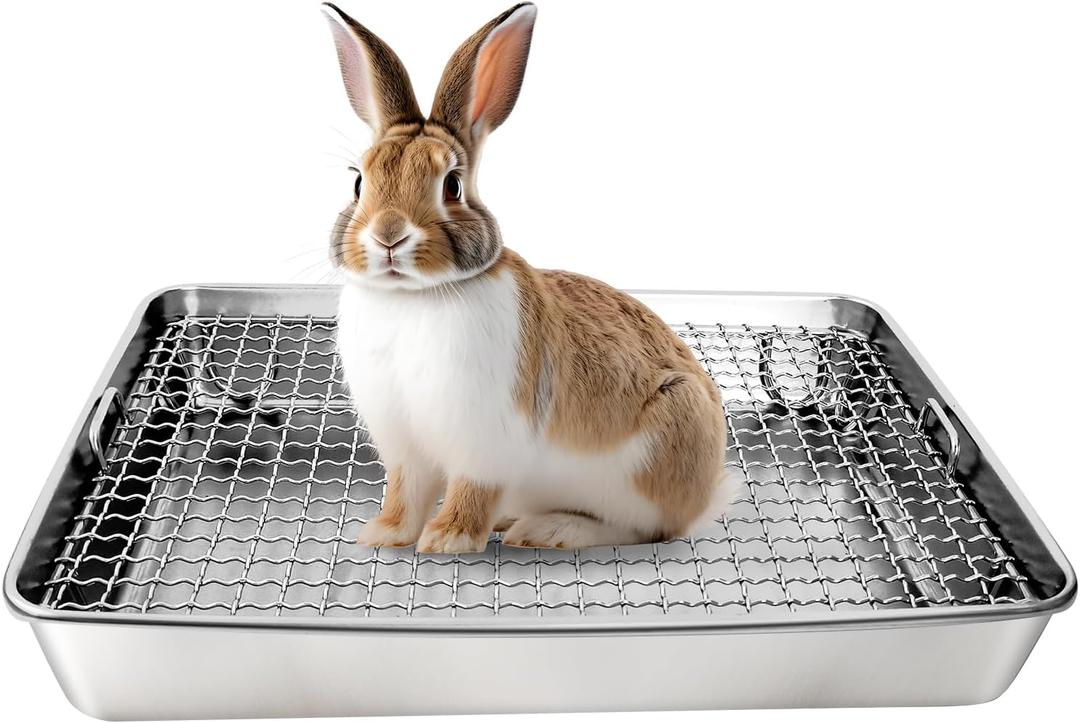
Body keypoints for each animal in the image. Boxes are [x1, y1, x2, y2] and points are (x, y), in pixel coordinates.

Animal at [323, 2, 739, 553]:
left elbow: (470, 490)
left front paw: (447, 540)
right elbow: (405, 492)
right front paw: (383, 534)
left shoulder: (487, 443)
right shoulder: (406, 447)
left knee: (643, 529)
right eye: (358, 181)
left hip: (654, 452)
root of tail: (705, 497)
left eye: (452, 185)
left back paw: (549, 530)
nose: (389, 235)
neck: (413, 296)